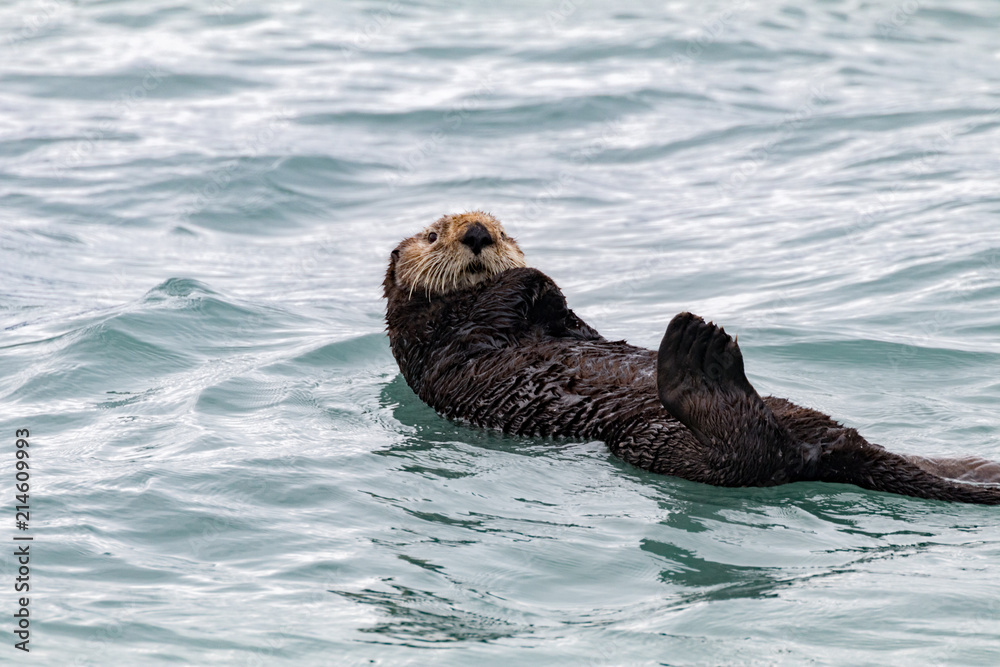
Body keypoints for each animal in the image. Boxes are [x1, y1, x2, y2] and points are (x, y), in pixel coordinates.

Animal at [383, 211, 1000, 505]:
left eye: (502, 226)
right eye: (434, 235)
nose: (479, 232)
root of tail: (827, 449)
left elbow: (569, 317)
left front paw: (529, 271)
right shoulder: (443, 338)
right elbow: (494, 306)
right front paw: (524, 274)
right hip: (648, 438)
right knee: (746, 452)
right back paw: (700, 354)